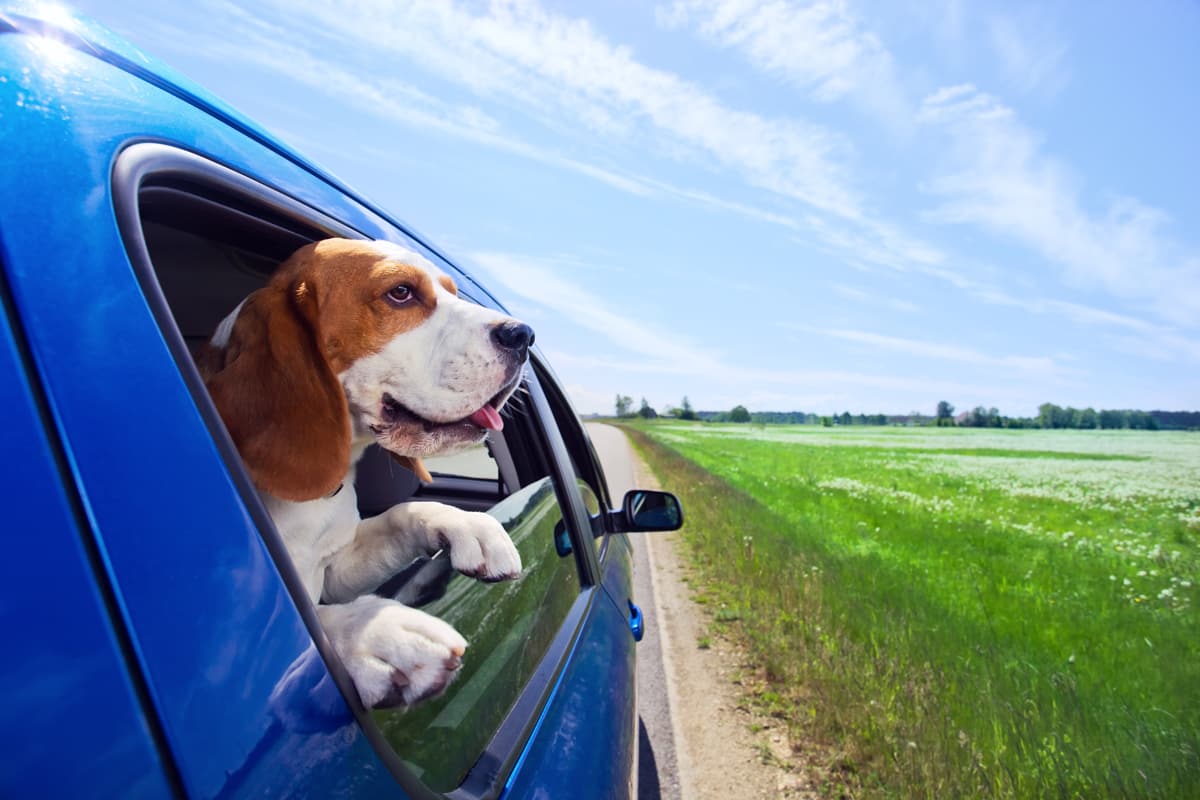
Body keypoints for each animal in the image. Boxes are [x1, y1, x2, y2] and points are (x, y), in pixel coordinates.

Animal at [200, 237, 530, 705]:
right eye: (401, 293)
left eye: (452, 292)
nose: (523, 335)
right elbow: (318, 622)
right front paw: (376, 634)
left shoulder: (337, 568)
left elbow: (402, 514)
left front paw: (469, 525)